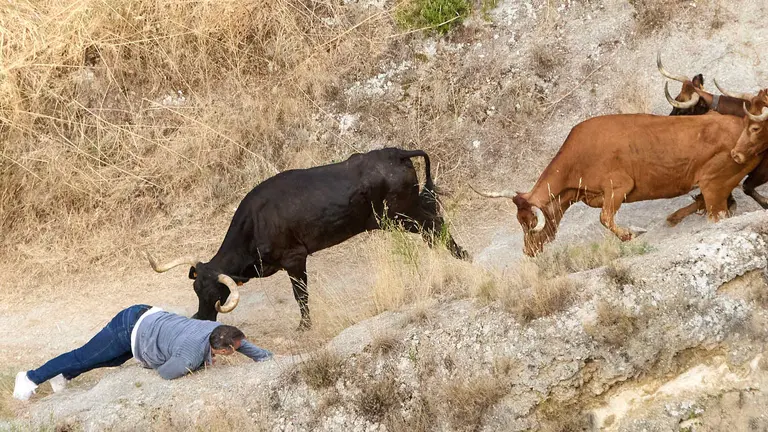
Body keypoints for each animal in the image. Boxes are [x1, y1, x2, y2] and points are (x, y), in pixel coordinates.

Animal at [146, 148, 470, 330]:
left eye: (215, 294)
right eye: (196, 290)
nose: (199, 319)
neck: (255, 224)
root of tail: (397, 152)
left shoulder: (295, 259)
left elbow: (300, 295)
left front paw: (304, 326)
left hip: (403, 214)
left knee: (436, 226)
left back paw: (463, 257)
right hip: (406, 213)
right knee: (433, 228)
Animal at [471, 113, 768, 257]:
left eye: (530, 224)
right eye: (519, 221)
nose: (528, 250)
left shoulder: (618, 187)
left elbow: (605, 219)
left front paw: (631, 233)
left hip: (713, 182)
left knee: (717, 212)